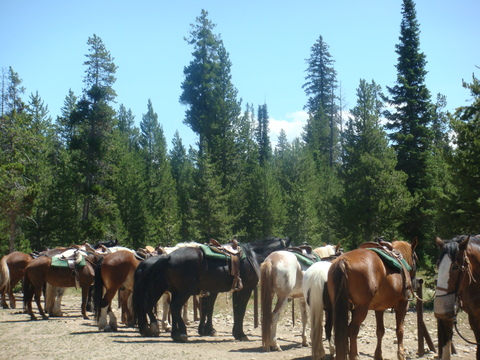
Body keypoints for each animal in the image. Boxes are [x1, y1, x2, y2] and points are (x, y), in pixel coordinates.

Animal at [131, 238, 288, 342]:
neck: (252, 256)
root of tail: (168, 257)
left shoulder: (233, 290)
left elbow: (230, 310)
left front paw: (234, 333)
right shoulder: (245, 290)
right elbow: (239, 311)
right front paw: (241, 334)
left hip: (174, 290)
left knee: (163, 307)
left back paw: (170, 332)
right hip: (182, 291)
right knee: (169, 307)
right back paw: (179, 333)